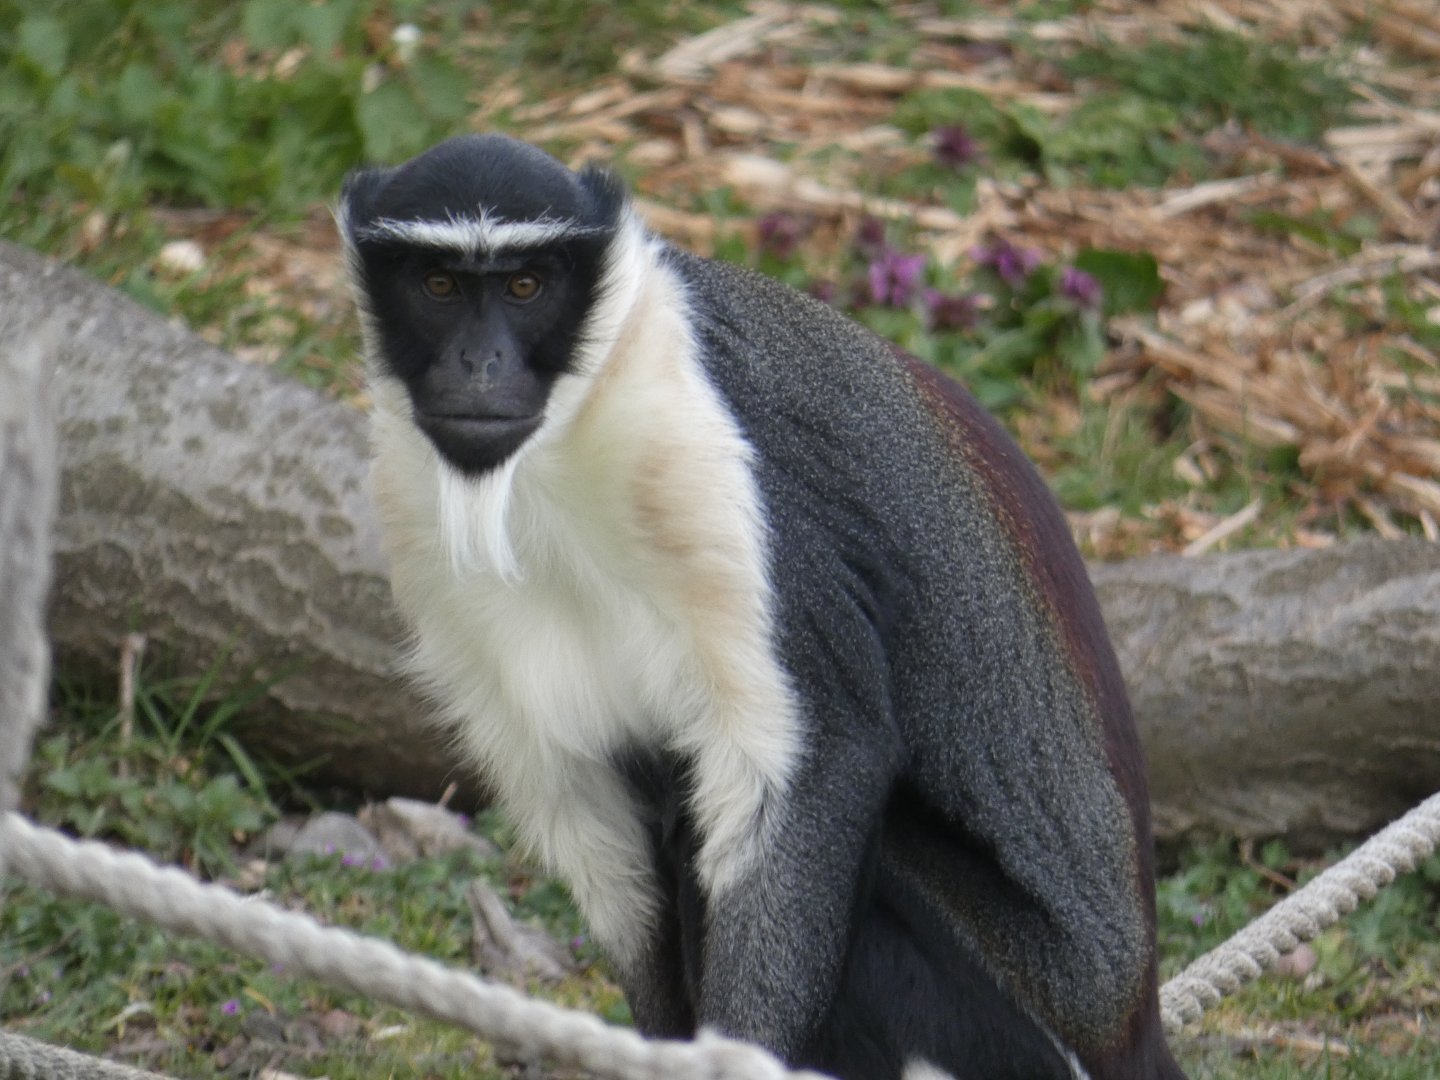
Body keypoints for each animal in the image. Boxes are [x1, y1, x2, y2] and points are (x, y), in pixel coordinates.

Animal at [338, 134, 1187, 1080]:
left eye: (525, 286)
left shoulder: (729, 478)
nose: (479, 364)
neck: (577, 415)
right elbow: (594, 806)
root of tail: (1136, 1034)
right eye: (438, 285)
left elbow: (817, 766)